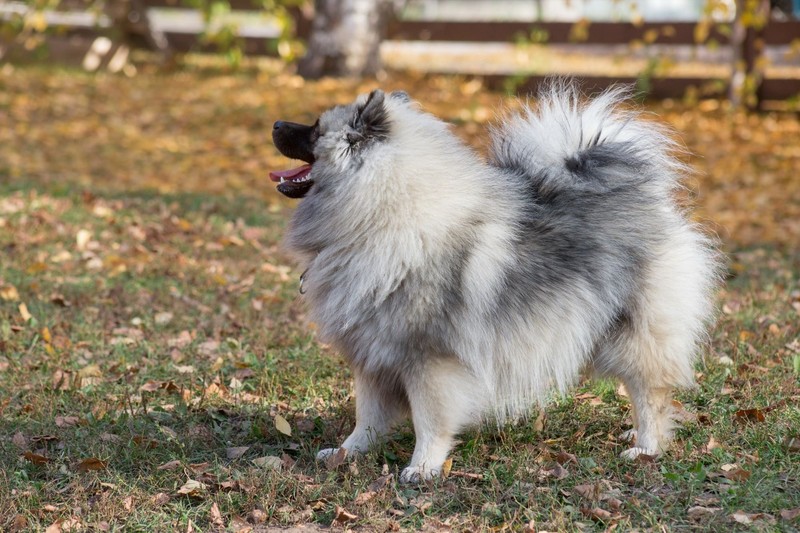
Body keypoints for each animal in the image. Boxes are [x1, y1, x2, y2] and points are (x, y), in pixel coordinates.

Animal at [268, 82, 720, 482]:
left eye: (314, 128)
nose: (275, 123)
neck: (383, 215)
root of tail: (649, 199)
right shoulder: (373, 355)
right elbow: (367, 417)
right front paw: (346, 453)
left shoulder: (429, 359)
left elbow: (430, 420)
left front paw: (422, 468)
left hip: (633, 335)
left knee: (650, 394)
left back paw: (646, 446)